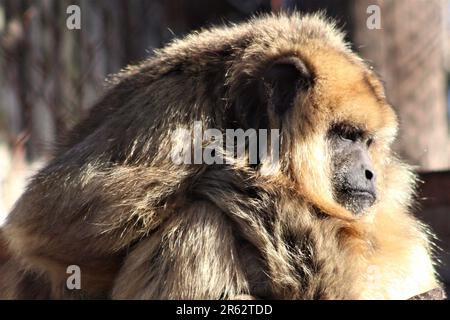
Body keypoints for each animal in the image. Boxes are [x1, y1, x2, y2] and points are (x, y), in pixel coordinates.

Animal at [0, 11, 444, 298]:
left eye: (368, 142)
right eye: (345, 136)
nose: (371, 173)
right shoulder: (178, 108)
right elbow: (48, 219)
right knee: (200, 218)